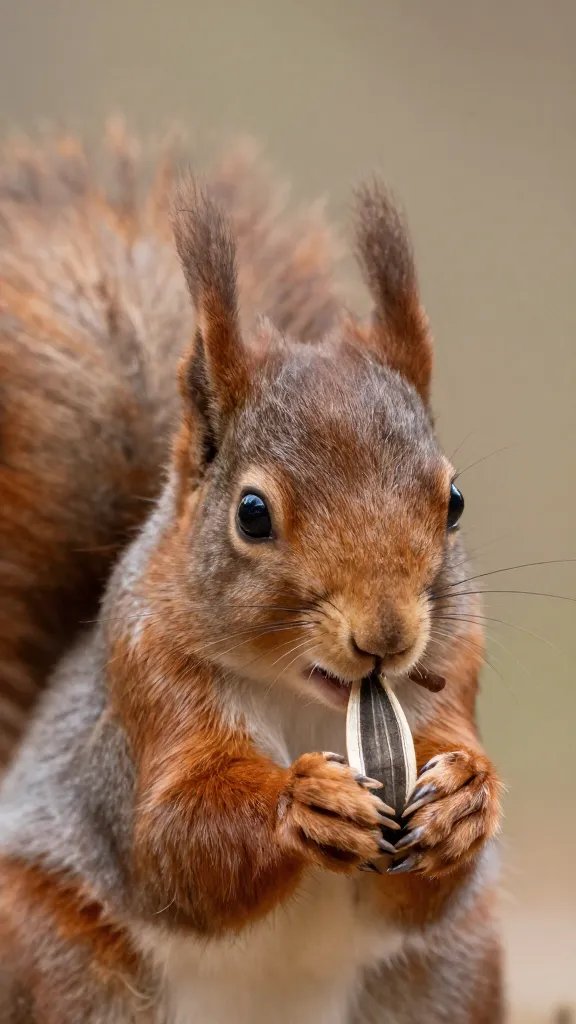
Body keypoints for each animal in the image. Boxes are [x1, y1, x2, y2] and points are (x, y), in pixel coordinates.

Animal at [0, 127, 504, 1023]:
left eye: (453, 500)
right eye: (253, 514)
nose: (386, 635)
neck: (313, 702)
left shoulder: (457, 671)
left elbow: (426, 887)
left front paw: (464, 802)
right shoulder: (146, 684)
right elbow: (175, 844)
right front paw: (304, 803)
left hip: (445, 972)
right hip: (62, 961)